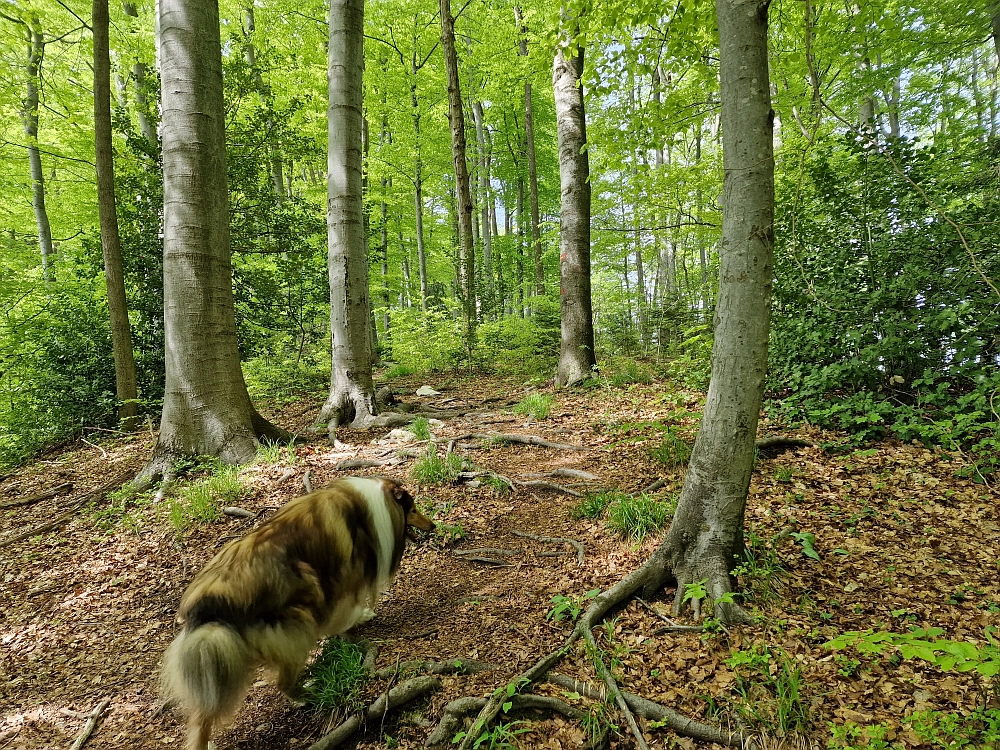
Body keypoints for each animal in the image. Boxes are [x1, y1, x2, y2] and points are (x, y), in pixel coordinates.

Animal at [160, 478, 434, 750]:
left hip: (220, 658)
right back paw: (308, 693)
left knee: (202, 716)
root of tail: (208, 607)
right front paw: (358, 619)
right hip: (298, 615)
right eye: (412, 509)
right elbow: (345, 610)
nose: (432, 526)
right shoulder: (343, 577)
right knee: (282, 681)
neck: (368, 508)